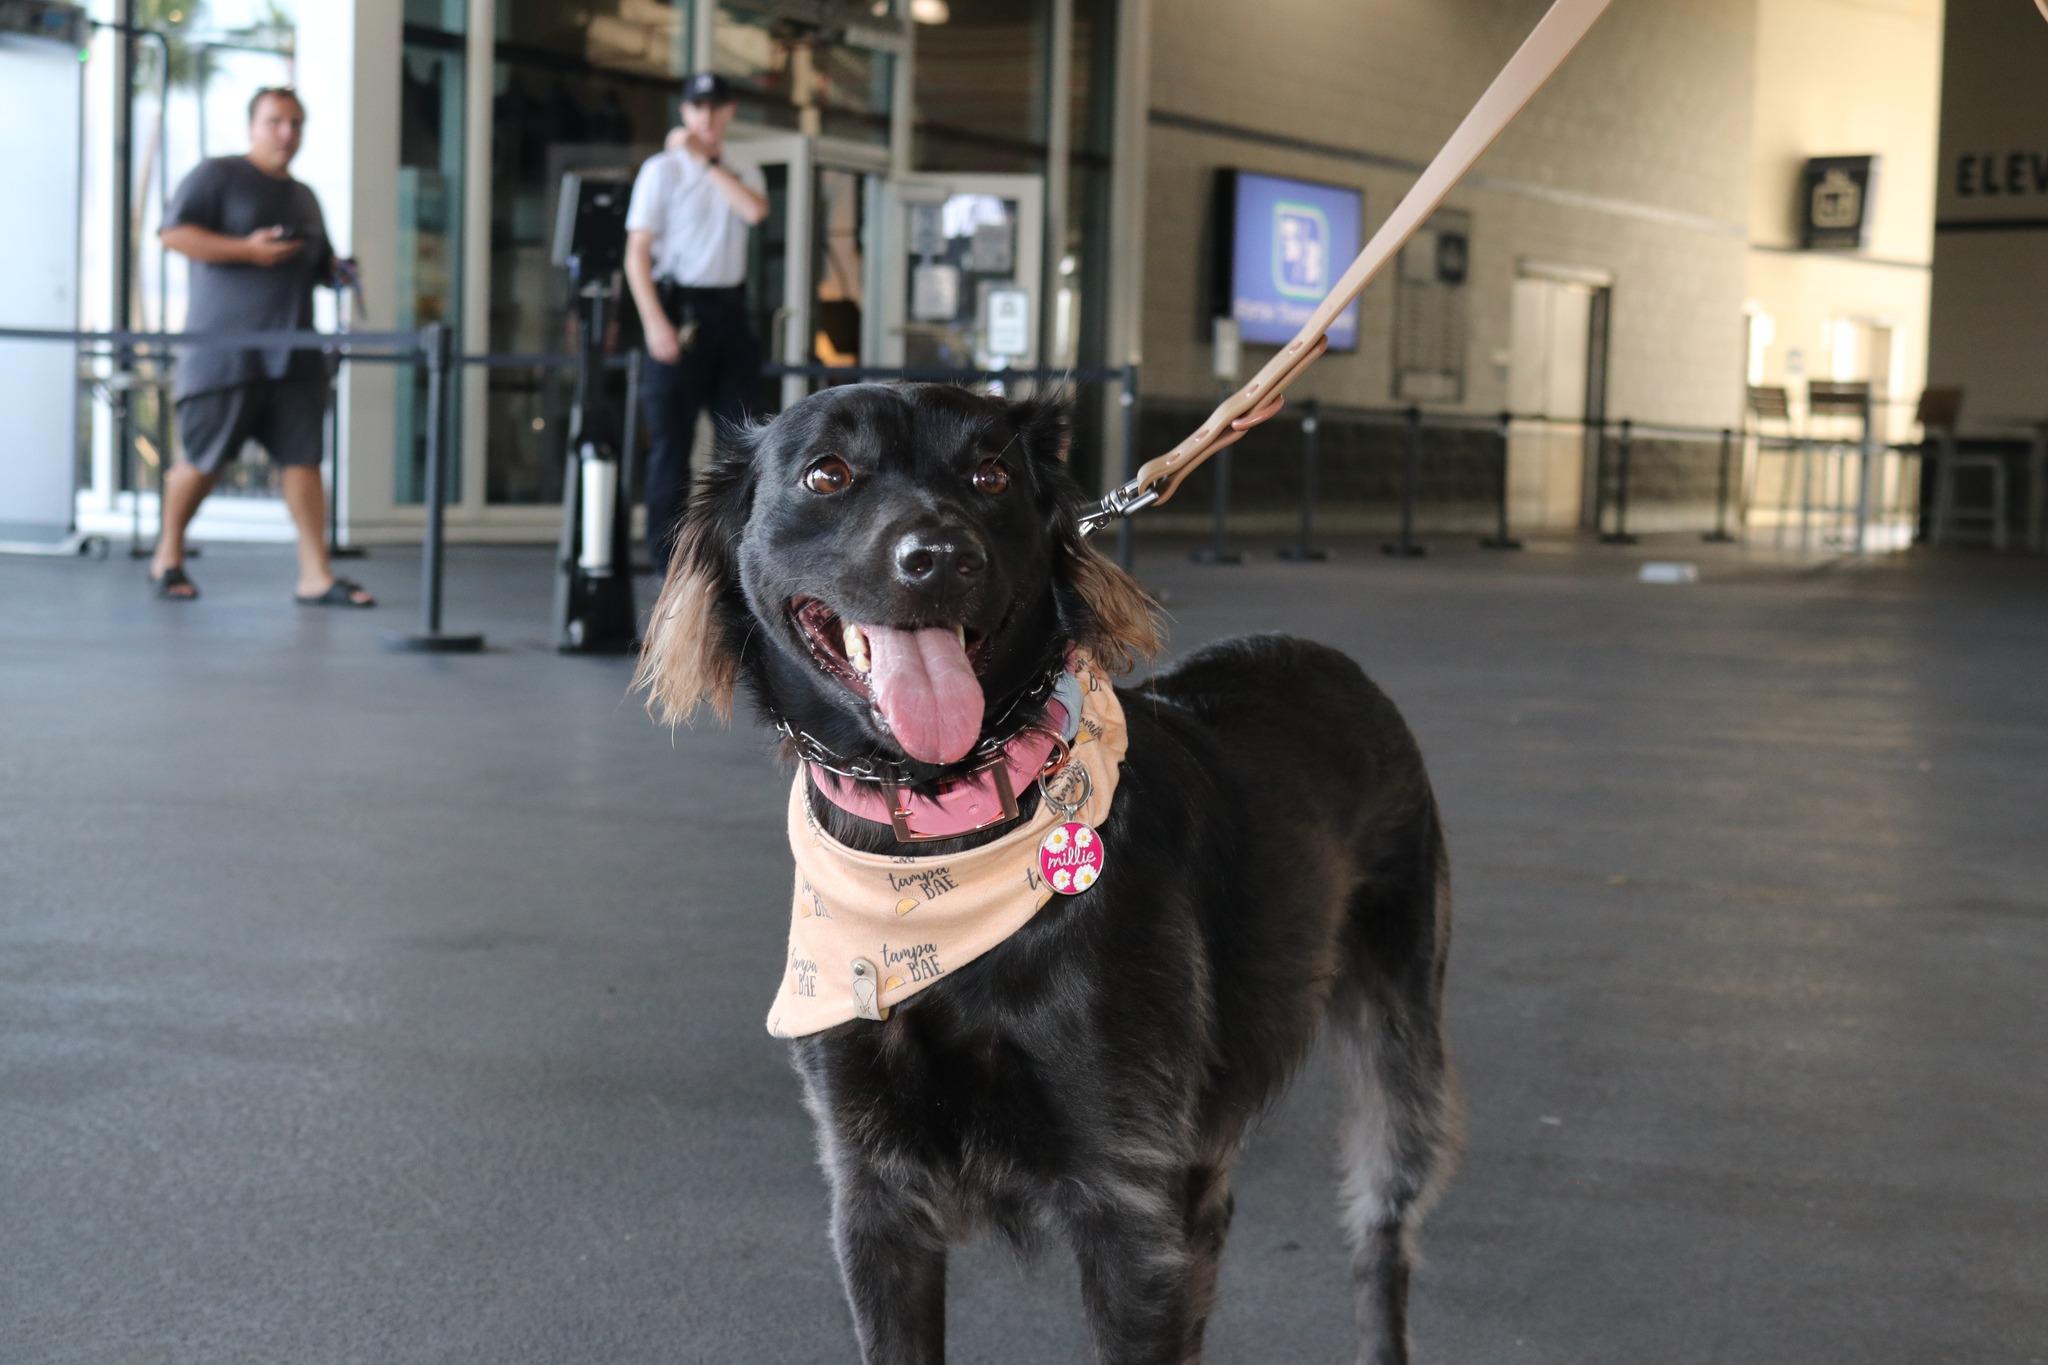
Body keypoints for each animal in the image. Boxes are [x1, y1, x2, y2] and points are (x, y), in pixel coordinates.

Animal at [638, 384, 1458, 1365]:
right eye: (826, 475)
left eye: (989, 475)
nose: (940, 558)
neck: (935, 852)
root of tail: (1338, 662)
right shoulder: (875, 1196)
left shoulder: (1129, 1203)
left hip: (1399, 1056)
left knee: (1381, 1233)